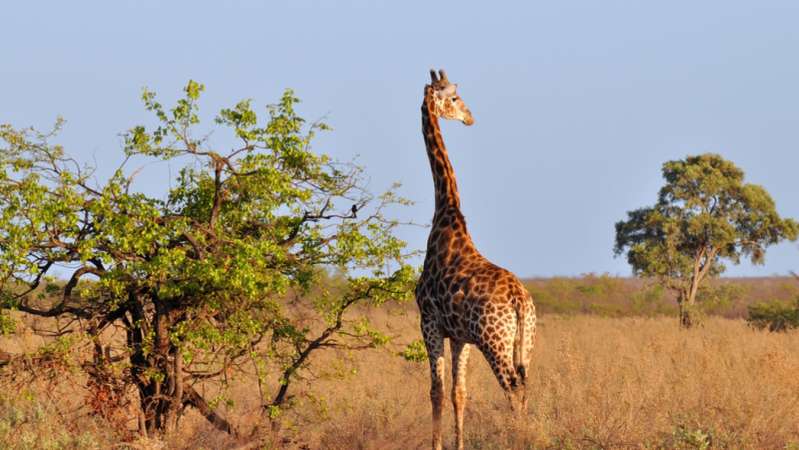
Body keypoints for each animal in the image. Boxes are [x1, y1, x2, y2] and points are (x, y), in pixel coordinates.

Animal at [415, 69, 537, 450]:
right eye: (454, 98)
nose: (470, 118)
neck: (446, 216)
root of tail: (519, 300)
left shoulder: (429, 321)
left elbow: (436, 391)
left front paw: (437, 445)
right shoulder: (460, 336)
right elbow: (459, 393)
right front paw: (458, 444)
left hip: (493, 341)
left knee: (512, 386)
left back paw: (517, 438)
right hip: (523, 342)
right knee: (525, 384)